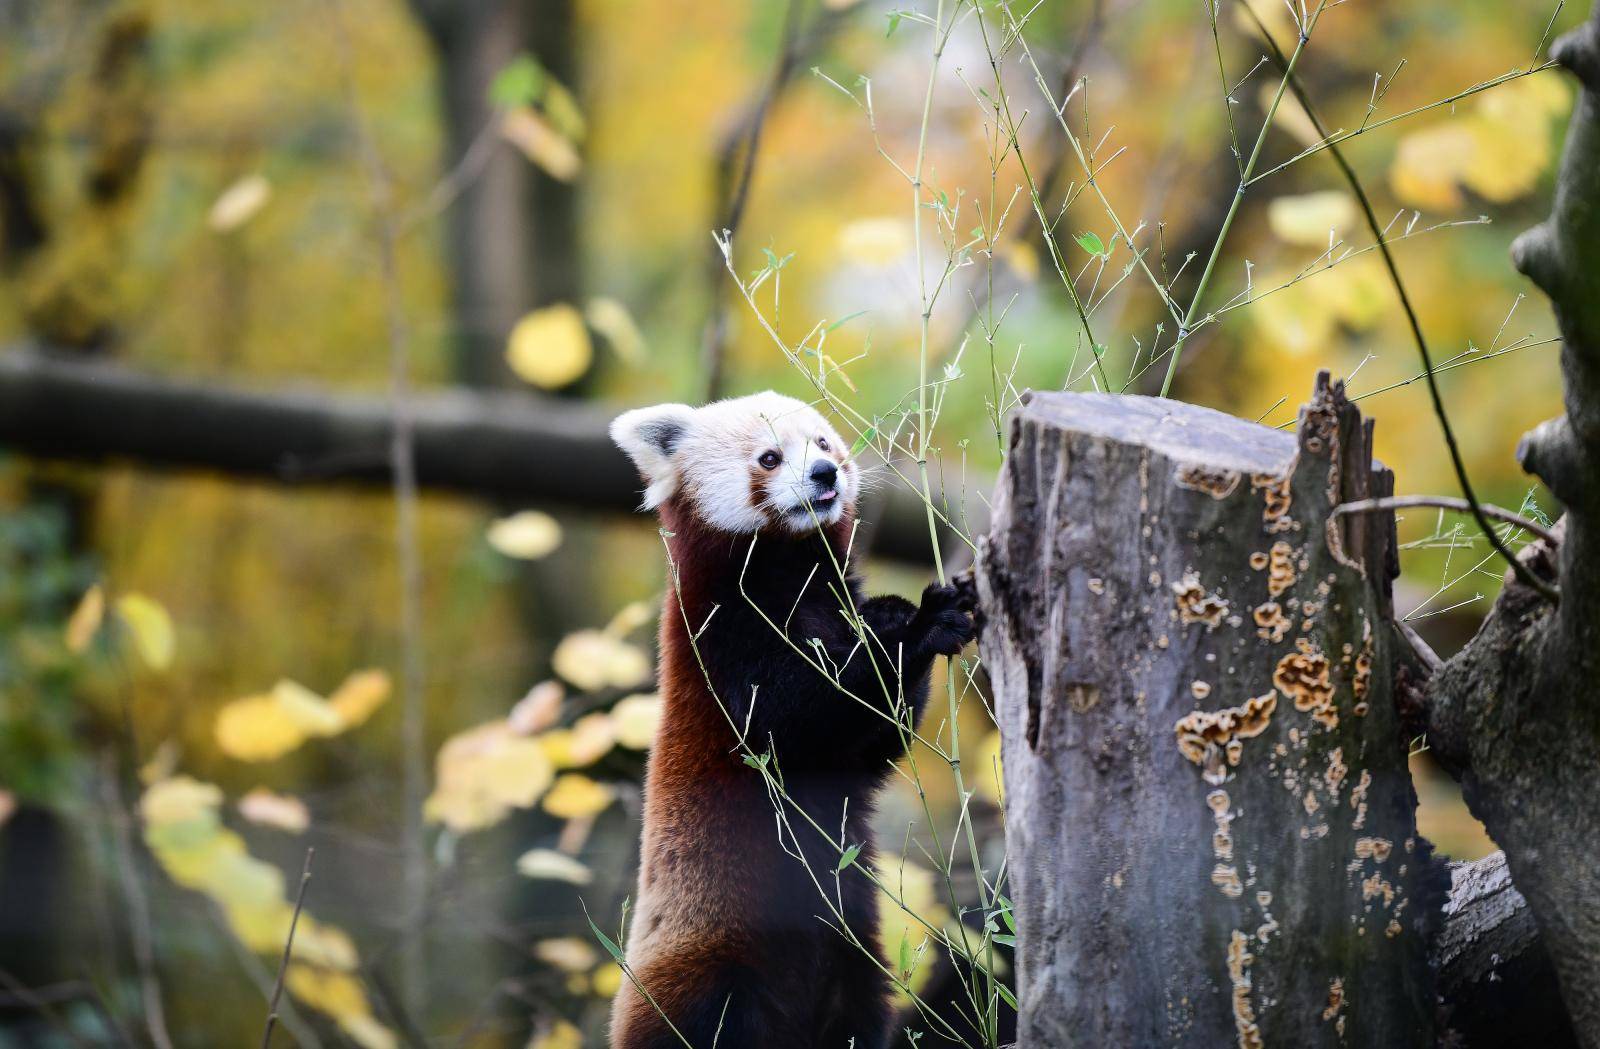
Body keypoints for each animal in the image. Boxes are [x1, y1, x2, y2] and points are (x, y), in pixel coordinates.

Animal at [601, 393, 966, 1049]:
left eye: (823, 443)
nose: (824, 474)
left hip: (853, 962)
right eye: (770, 457)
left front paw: (916, 617)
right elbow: (795, 715)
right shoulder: (721, 649)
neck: (795, 578)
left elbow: (876, 742)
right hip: (711, 967)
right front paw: (913, 625)